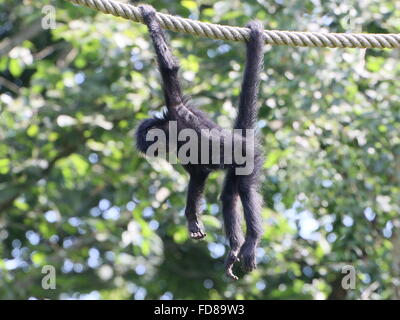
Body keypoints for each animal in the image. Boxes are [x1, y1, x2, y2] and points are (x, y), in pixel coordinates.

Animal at [136, 5, 264, 280]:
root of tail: (242, 138)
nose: (157, 150)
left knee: (246, 189)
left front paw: (150, 16)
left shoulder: (177, 110)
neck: (172, 129)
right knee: (228, 197)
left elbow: (169, 69)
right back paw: (234, 248)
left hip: (250, 157)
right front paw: (192, 220)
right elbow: (198, 174)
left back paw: (251, 242)